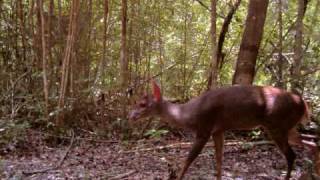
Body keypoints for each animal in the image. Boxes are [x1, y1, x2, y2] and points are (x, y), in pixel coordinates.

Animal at [127, 81, 310, 179]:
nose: (130, 116)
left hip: (276, 125)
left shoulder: (204, 129)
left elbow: (188, 160)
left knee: (291, 154)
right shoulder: (218, 130)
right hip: (287, 127)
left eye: (142, 104)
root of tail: (303, 103)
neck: (188, 114)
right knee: (309, 144)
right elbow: (219, 160)